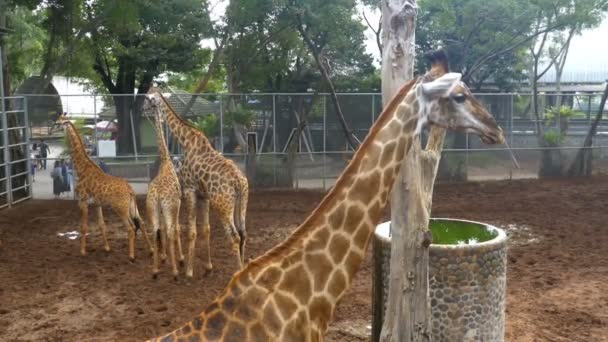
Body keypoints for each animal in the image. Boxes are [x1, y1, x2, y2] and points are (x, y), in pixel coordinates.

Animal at [58, 116, 154, 260]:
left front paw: (82, 251)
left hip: (120, 208)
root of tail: (130, 190)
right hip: (132, 206)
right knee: (141, 223)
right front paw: (107, 248)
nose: (56, 128)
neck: (81, 169)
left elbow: (83, 227)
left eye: (60, 122)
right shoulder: (97, 204)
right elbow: (102, 225)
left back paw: (131, 255)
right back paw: (151, 250)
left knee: (131, 227)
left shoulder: (82, 201)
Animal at [146, 88, 248, 278]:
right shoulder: (203, 195)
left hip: (222, 205)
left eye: (146, 99)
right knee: (243, 232)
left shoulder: (189, 190)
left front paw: (188, 271)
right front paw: (208, 267)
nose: (143, 109)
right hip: (241, 203)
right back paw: (245, 267)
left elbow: (192, 231)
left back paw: (237, 272)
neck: (186, 140)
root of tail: (239, 181)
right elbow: (205, 229)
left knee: (234, 236)